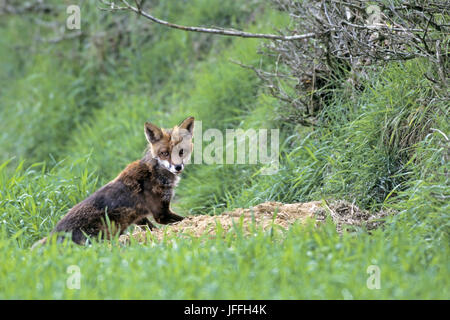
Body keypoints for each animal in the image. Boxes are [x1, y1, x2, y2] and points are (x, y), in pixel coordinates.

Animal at [31, 116, 193, 246]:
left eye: (181, 152)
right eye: (164, 153)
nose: (178, 167)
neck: (154, 172)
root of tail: (54, 234)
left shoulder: (140, 217)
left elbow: (151, 228)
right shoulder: (161, 213)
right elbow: (186, 218)